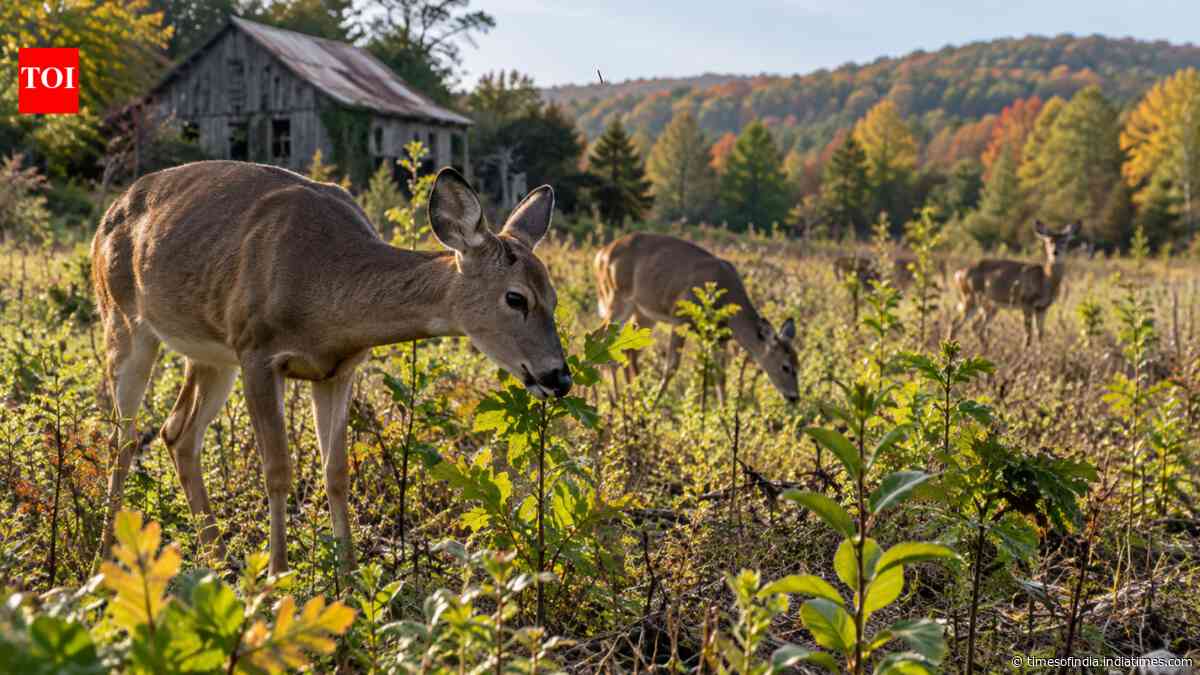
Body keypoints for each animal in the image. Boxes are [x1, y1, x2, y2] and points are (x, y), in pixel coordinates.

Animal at [92, 160, 570, 575]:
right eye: (515, 297)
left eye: (553, 297)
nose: (559, 376)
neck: (324, 291)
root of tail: (110, 213)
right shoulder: (257, 352)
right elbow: (278, 471)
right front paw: (277, 575)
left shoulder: (338, 370)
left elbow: (336, 473)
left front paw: (351, 575)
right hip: (123, 320)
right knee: (123, 439)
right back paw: (104, 557)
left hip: (210, 355)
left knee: (177, 432)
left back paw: (217, 559)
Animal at [594, 232, 799, 405]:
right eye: (785, 366)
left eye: (798, 364)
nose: (794, 397)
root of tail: (601, 254)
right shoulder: (680, 318)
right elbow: (672, 366)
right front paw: (654, 408)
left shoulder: (717, 337)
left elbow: (716, 375)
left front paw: (721, 416)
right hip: (616, 297)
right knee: (599, 336)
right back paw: (615, 401)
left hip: (643, 313)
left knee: (628, 350)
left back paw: (632, 400)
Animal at [948, 220, 1080, 348]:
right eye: (1048, 241)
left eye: (1064, 241)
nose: (1055, 252)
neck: (1045, 280)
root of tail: (957, 274)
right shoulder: (1026, 302)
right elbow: (1028, 334)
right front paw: (1025, 351)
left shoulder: (1042, 307)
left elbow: (1040, 334)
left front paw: (1040, 352)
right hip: (970, 298)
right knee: (955, 324)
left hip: (989, 305)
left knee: (976, 326)